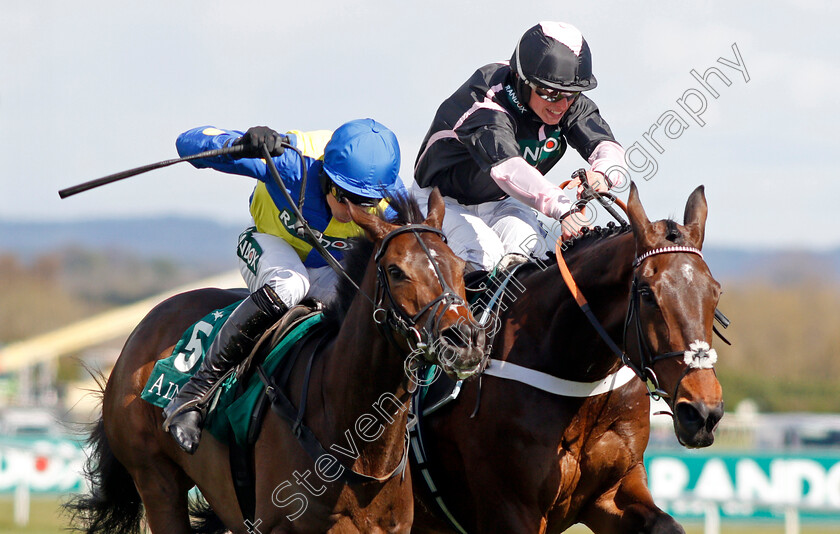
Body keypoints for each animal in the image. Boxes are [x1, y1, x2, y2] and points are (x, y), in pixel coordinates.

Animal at [416, 183, 724, 532]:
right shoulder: (509, 508)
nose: (702, 412)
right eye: (647, 294)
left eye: (715, 292)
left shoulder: (614, 490)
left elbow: (665, 524)